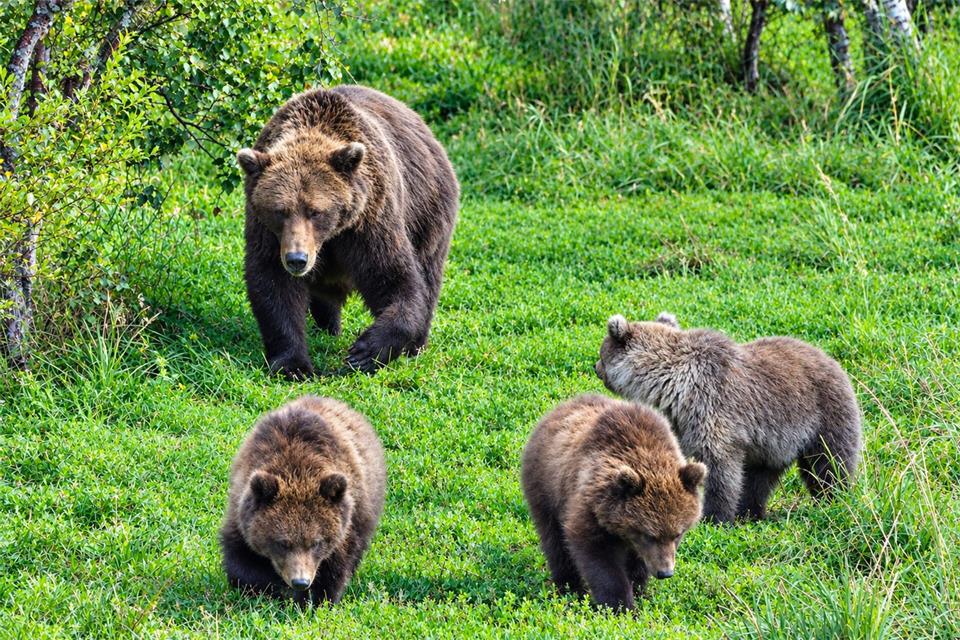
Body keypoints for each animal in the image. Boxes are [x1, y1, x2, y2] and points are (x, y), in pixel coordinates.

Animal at [219, 395, 386, 604]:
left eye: (316, 542)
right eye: (282, 543)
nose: (300, 581)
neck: (297, 469)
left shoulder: (346, 526)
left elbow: (334, 569)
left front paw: (313, 599)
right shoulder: (241, 510)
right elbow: (242, 562)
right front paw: (266, 589)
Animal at [237, 85, 459, 377]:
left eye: (315, 211)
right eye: (280, 210)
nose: (297, 259)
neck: (330, 237)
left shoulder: (369, 221)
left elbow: (395, 278)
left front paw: (364, 352)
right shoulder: (267, 233)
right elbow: (273, 284)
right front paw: (293, 365)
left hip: (428, 211)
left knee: (428, 272)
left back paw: (416, 345)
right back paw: (328, 326)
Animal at [521, 394, 706, 610]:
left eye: (678, 534)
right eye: (649, 535)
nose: (665, 572)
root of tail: (558, 409)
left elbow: (637, 562)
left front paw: (638, 589)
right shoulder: (590, 506)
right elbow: (599, 557)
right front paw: (621, 605)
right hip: (546, 487)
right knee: (554, 540)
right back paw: (568, 586)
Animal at [595, 312, 862, 524]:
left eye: (601, 352)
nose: (596, 368)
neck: (674, 384)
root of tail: (835, 363)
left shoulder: (714, 409)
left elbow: (719, 470)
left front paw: (713, 517)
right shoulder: (684, 422)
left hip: (823, 416)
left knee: (829, 463)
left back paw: (832, 500)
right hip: (772, 446)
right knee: (758, 479)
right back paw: (751, 512)